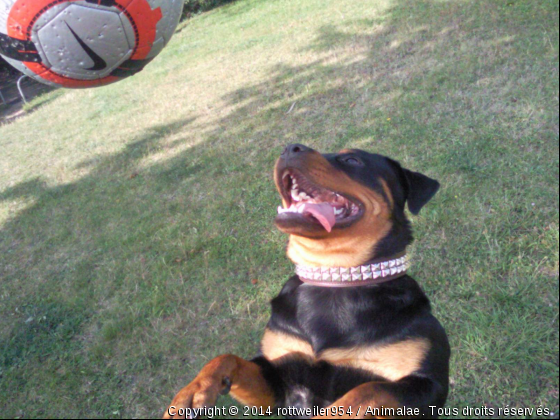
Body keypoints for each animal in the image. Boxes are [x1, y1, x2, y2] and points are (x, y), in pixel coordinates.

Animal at [165, 144, 450, 416]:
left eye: (352, 160)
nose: (290, 147)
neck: (335, 277)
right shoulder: (274, 384)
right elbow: (226, 358)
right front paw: (194, 390)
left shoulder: (427, 385)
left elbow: (365, 393)